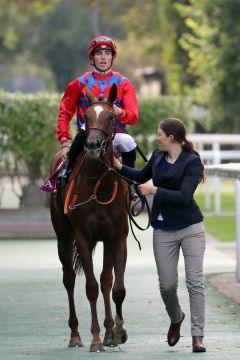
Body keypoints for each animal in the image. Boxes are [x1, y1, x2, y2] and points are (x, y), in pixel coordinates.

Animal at [49, 83, 130, 352]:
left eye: (111, 117)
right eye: (87, 115)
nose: (93, 145)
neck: (99, 187)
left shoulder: (117, 238)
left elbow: (115, 287)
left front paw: (116, 332)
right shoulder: (83, 237)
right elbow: (91, 287)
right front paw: (95, 339)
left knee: (106, 280)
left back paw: (108, 333)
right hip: (63, 237)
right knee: (69, 279)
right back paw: (75, 335)